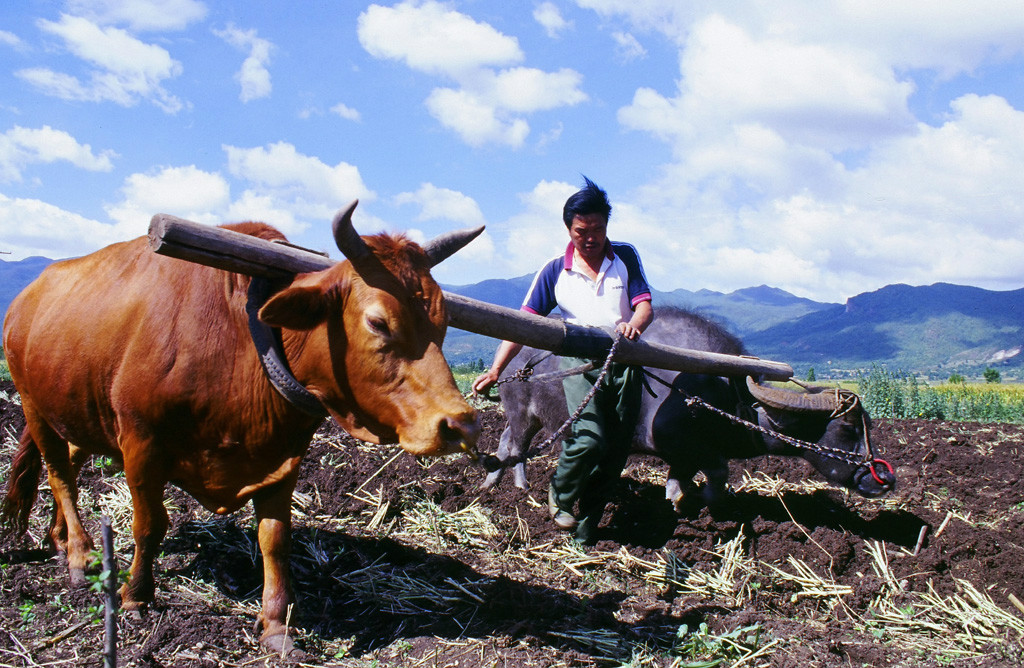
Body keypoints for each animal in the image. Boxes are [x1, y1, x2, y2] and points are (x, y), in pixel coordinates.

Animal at [483, 307, 892, 512]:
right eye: (847, 429)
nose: (884, 479)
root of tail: (507, 359)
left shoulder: (685, 454)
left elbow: (684, 478)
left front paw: (677, 499)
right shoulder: (681, 445)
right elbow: (718, 472)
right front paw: (703, 505)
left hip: (531, 416)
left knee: (504, 440)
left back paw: (492, 482)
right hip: (523, 413)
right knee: (517, 446)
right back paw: (519, 487)